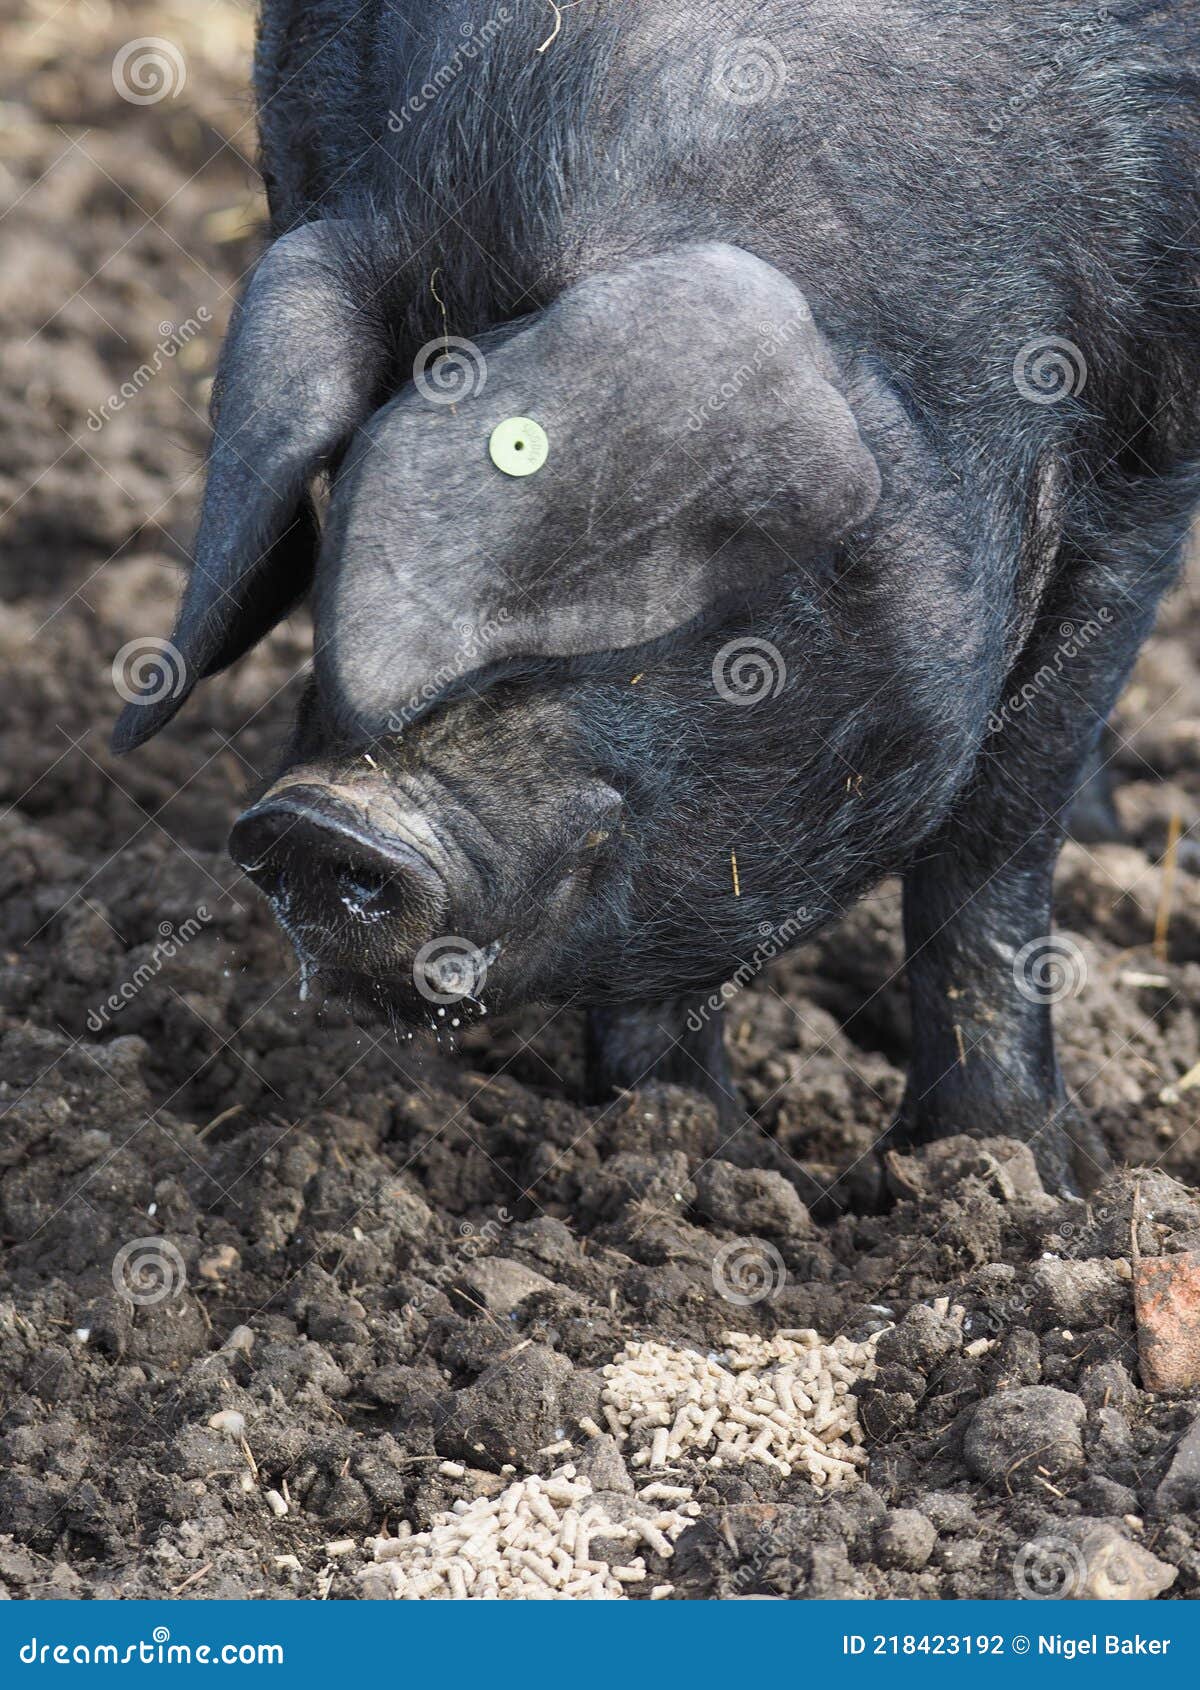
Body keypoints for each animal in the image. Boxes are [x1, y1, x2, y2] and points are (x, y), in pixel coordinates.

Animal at [113, 2, 1200, 1195]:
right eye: (343, 507)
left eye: (647, 555)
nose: (319, 818)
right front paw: (681, 1140)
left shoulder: (1146, 472)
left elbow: (998, 831)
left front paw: (1023, 1166)